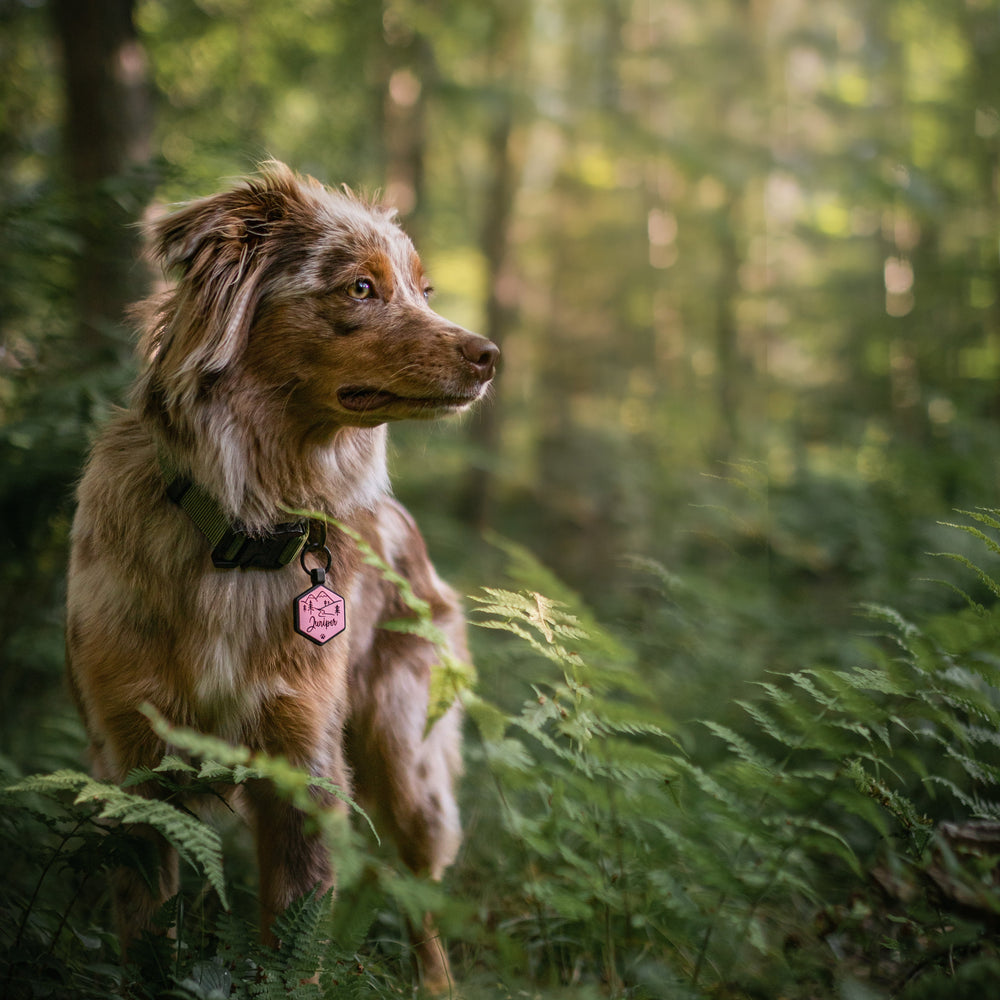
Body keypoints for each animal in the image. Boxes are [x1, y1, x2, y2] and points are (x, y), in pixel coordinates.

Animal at [64, 160, 498, 988]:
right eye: (361, 287)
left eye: (423, 289)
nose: (491, 355)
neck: (244, 525)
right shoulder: (132, 764)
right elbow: (147, 936)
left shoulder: (305, 767)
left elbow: (295, 946)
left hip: (407, 759)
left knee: (419, 892)